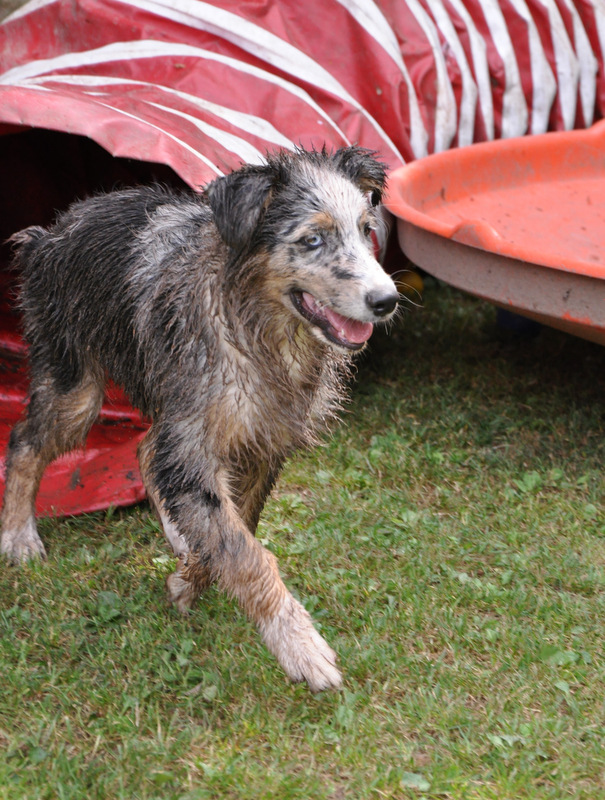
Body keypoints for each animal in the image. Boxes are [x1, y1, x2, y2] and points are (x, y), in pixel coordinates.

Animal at [2, 147, 398, 692]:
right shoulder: (194, 439)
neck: (260, 333)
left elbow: (236, 528)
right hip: (74, 387)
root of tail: (47, 236)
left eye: (365, 229)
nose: (387, 300)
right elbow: (244, 552)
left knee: (146, 447)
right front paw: (300, 646)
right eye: (312, 240)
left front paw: (189, 579)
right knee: (24, 441)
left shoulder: (262, 444)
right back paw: (19, 535)